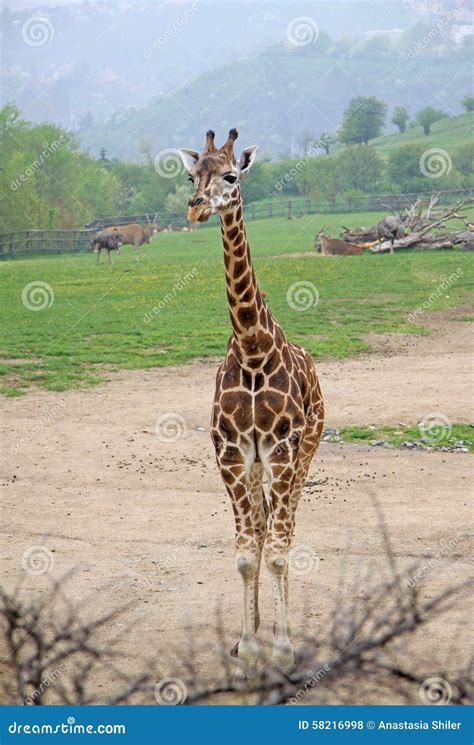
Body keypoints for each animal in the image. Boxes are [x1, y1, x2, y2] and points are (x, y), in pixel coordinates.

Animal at [179, 128, 326, 676]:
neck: (253, 346)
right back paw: (256, 629)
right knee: (263, 526)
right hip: (260, 463)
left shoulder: (282, 450)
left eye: (230, 175)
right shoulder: (232, 453)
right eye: (191, 177)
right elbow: (246, 551)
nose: (196, 208)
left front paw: (282, 651)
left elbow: (280, 549)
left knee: (286, 527)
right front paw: (247, 649)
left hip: (306, 453)